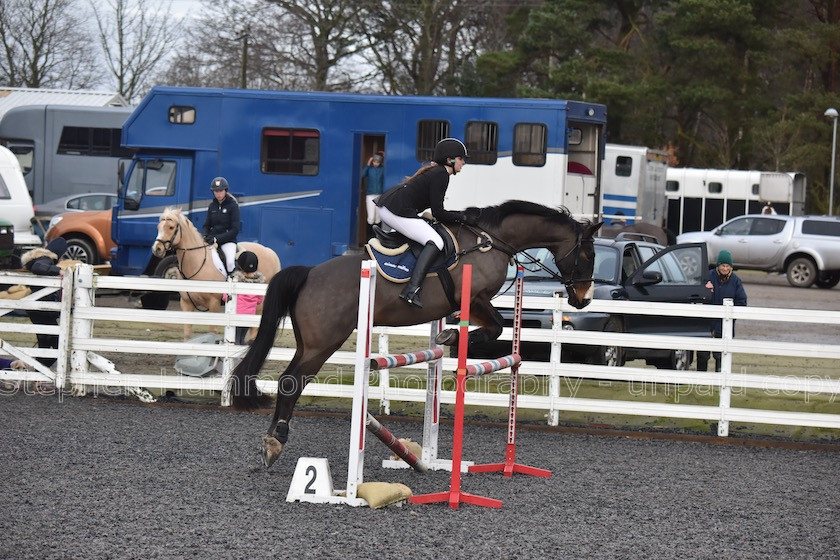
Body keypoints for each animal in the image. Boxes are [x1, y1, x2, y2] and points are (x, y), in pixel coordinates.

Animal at [151, 208, 282, 340]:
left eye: (171, 227)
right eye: (158, 227)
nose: (157, 249)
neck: (198, 263)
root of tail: (270, 252)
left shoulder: (214, 304)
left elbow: (212, 332)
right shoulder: (186, 304)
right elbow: (187, 335)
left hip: (260, 304)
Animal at [226, 201, 600, 468]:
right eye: (589, 253)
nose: (583, 298)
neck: (491, 242)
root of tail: (309, 272)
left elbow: (493, 327)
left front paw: (448, 338)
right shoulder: (474, 298)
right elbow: (495, 326)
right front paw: (451, 339)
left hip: (310, 342)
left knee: (290, 380)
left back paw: (272, 440)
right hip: (324, 342)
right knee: (292, 382)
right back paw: (277, 440)